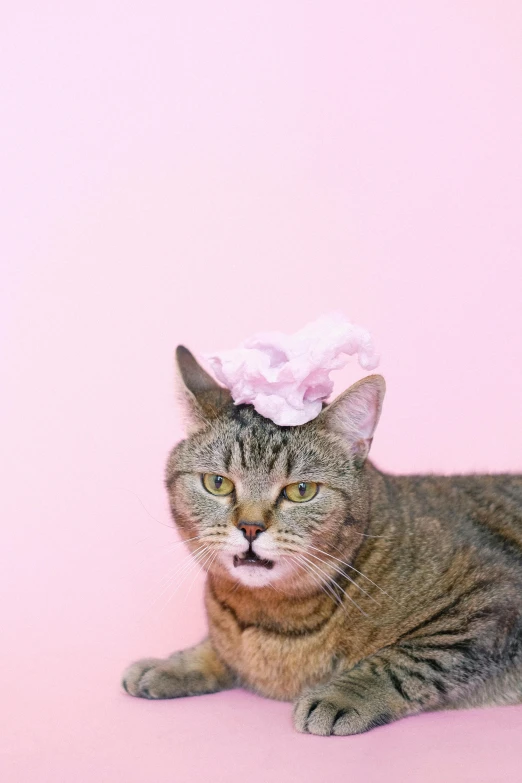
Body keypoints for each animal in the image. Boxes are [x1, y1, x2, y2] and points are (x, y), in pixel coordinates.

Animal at [123, 348, 520, 736]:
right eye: (217, 483)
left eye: (301, 490)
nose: (250, 527)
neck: (268, 617)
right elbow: (220, 649)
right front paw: (176, 663)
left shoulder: (492, 598)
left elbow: (408, 659)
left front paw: (343, 694)